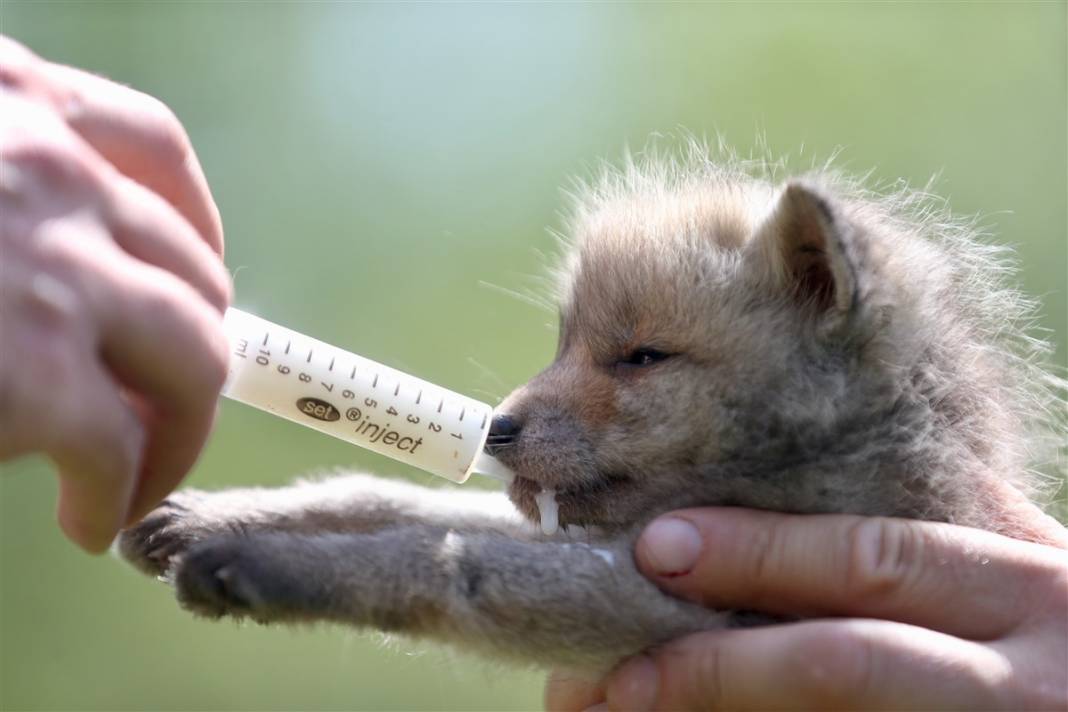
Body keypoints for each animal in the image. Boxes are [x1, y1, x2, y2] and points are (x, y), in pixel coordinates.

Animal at [121, 145, 1063, 670]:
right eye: (563, 343)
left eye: (641, 357)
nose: (497, 428)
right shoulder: (601, 538)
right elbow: (387, 500)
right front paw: (224, 517)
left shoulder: (684, 600)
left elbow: (445, 561)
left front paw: (263, 563)